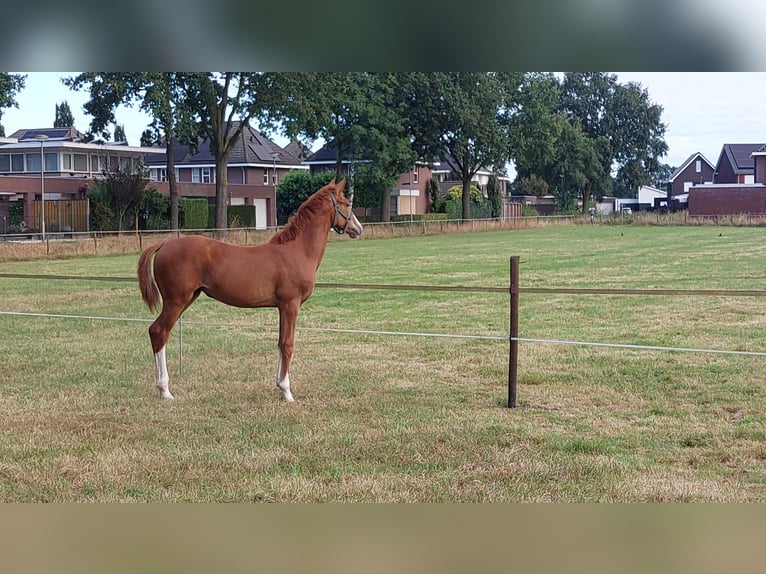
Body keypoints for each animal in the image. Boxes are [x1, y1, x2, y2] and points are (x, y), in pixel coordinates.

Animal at [136, 178, 364, 402]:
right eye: (347, 203)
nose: (358, 229)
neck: (297, 250)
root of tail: (164, 245)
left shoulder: (282, 307)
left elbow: (280, 342)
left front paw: (279, 385)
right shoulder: (291, 305)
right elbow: (288, 344)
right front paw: (287, 392)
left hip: (188, 298)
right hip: (176, 301)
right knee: (159, 332)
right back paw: (165, 390)